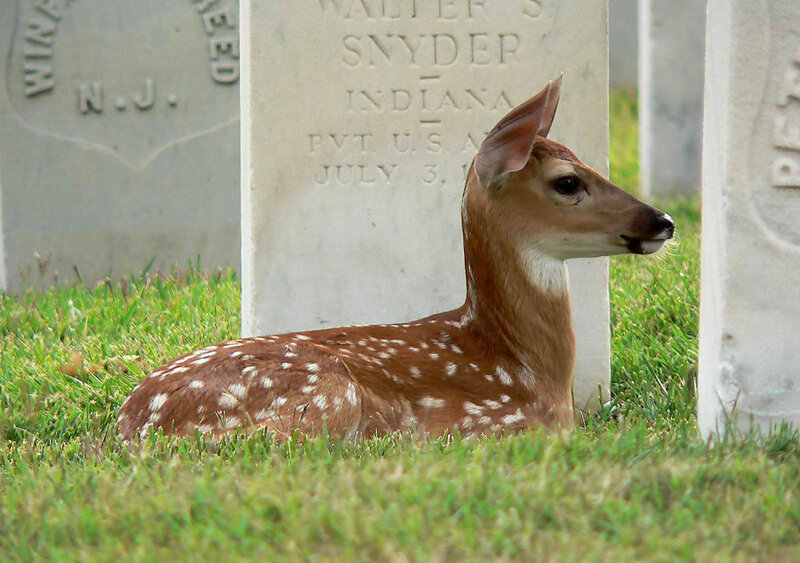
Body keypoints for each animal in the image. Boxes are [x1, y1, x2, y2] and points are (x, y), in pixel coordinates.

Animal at [118, 77, 674, 443]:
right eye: (568, 182)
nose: (663, 220)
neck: (527, 367)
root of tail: (131, 426)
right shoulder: (500, 421)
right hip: (325, 397)